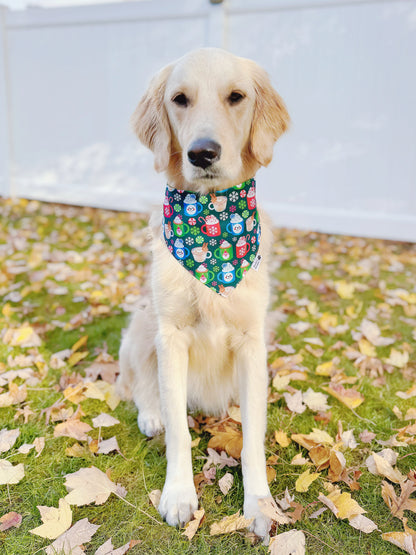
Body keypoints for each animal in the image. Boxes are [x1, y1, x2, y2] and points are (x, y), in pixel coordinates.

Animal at [115, 48, 288, 544]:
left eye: (236, 97)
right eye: (180, 99)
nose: (202, 152)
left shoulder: (252, 341)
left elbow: (252, 439)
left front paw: (259, 504)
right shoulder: (171, 336)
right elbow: (178, 429)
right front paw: (178, 494)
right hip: (141, 325)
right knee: (140, 385)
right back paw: (150, 414)